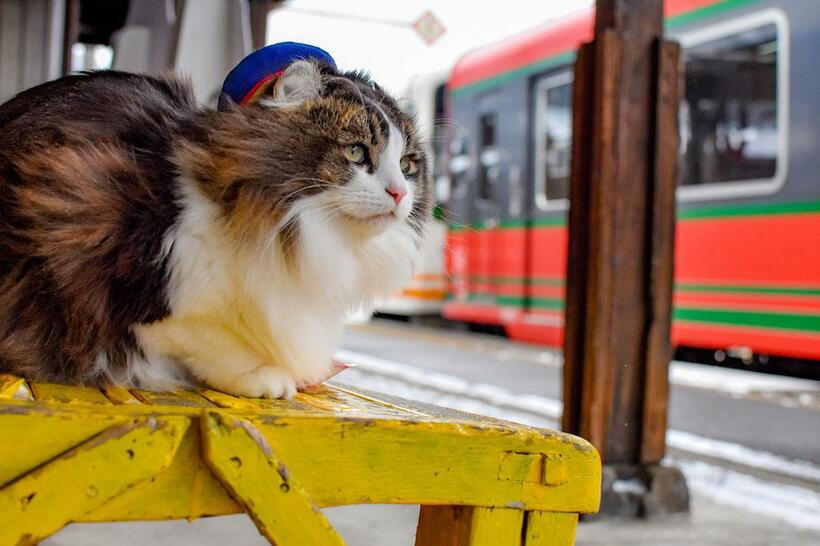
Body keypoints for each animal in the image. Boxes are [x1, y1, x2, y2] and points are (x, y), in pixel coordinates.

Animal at [0, 61, 432, 398]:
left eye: (407, 165)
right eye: (356, 152)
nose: (398, 193)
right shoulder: (136, 271)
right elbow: (204, 341)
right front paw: (263, 376)